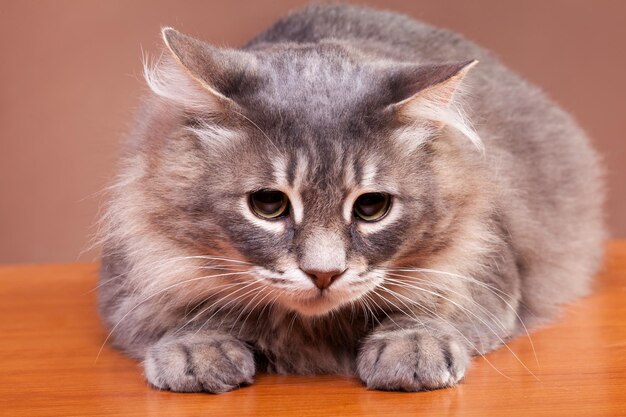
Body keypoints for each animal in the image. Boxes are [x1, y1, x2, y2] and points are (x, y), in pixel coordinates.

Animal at [96, 4, 600, 394]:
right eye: (268, 205)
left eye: (371, 208)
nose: (324, 274)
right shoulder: (135, 279)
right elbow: (188, 316)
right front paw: (197, 350)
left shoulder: (484, 264)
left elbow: (429, 311)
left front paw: (411, 348)